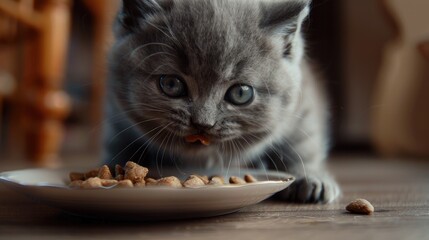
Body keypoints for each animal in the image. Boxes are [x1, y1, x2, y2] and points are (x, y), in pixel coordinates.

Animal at [103, 0, 338, 202]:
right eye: (171, 84)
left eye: (241, 93)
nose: (202, 123)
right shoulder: (116, 115)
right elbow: (117, 143)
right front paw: (116, 171)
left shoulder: (302, 102)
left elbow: (303, 142)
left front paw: (310, 177)